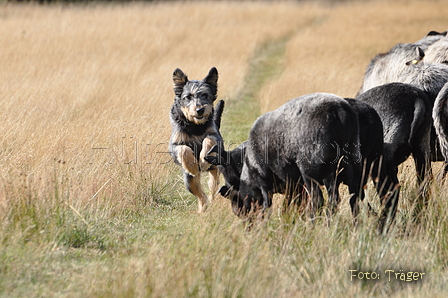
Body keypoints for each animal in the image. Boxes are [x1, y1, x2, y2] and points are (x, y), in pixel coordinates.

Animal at [168, 67, 224, 212]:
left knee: (212, 187)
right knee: (200, 194)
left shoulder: (215, 135)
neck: (195, 125)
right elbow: (183, 149)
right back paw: (202, 209)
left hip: (216, 169)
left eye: (205, 95)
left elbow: (208, 140)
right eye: (188, 97)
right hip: (189, 181)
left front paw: (203, 160)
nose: (200, 110)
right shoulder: (174, 145)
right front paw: (193, 165)